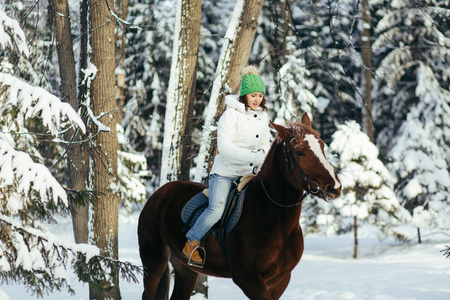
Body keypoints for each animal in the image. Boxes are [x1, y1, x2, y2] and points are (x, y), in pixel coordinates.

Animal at [137, 113, 342, 300]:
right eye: (299, 152)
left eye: (321, 145)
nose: (334, 187)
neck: (272, 219)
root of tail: (158, 194)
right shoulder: (248, 279)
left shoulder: (280, 280)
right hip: (153, 262)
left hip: (186, 269)